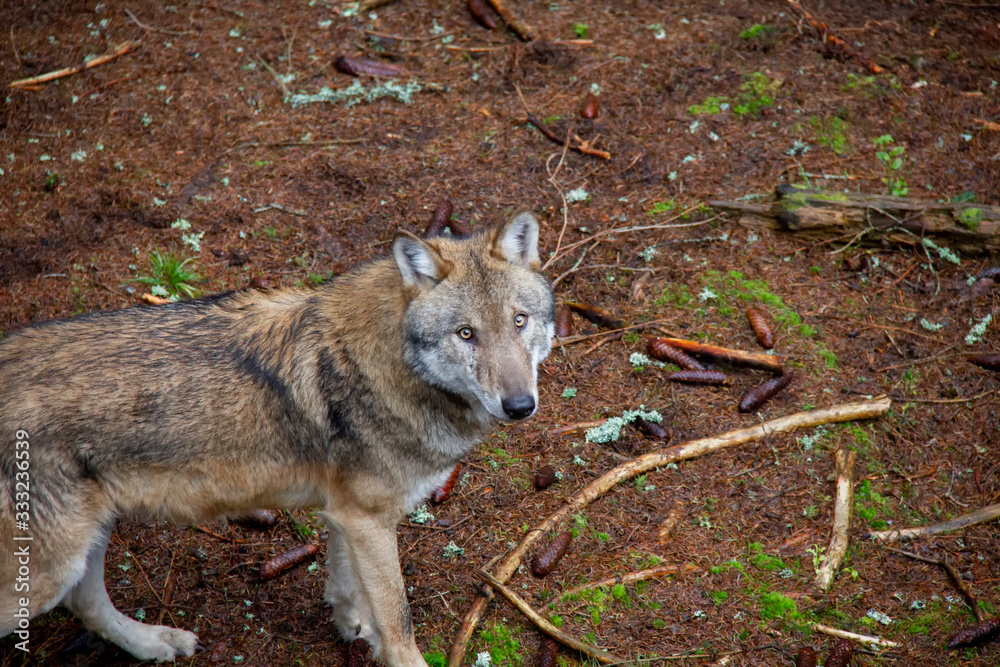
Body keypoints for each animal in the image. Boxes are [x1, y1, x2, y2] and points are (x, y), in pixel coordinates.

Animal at [0, 211, 555, 665]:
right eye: (466, 334)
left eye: (519, 321)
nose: (520, 406)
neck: (389, 363)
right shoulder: (370, 520)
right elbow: (399, 626)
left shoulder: (346, 512)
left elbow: (346, 586)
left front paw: (353, 627)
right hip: (50, 567)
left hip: (85, 543)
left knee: (87, 603)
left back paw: (155, 642)